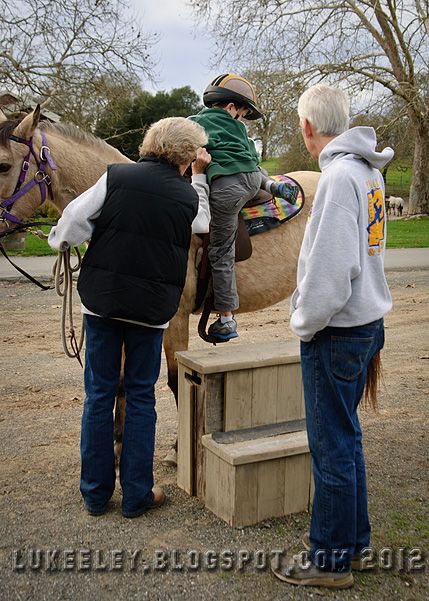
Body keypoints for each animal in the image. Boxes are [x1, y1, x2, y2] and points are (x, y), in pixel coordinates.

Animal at [0, 106, 318, 464]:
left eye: (4, 165)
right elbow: (121, 380)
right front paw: (118, 443)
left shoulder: (174, 320)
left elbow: (177, 382)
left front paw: (179, 451)